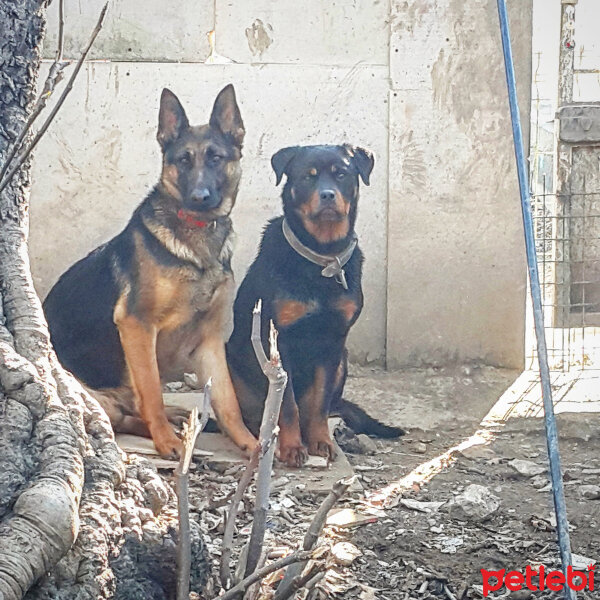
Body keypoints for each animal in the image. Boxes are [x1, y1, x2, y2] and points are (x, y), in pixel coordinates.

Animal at [41, 85, 258, 460]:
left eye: (215, 158)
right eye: (183, 160)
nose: (199, 197)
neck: (197, 236)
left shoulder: (210, 340)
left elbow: (228, 400)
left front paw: (252, 444)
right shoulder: (137, 324)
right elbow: (153, 392)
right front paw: (167, 442)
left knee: (133, 409)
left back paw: (182, 417)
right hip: (90, 391)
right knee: (124, 417)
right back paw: (170, 428)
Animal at [227, 143, 406, 466]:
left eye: (341, 174)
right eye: (308, 177)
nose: (327, 195)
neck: (321, 257)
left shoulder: (333, 341)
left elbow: (318, 402)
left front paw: (320, 441)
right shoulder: (279, 342)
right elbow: (287, 405)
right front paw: (291, 447)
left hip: (343, 360)